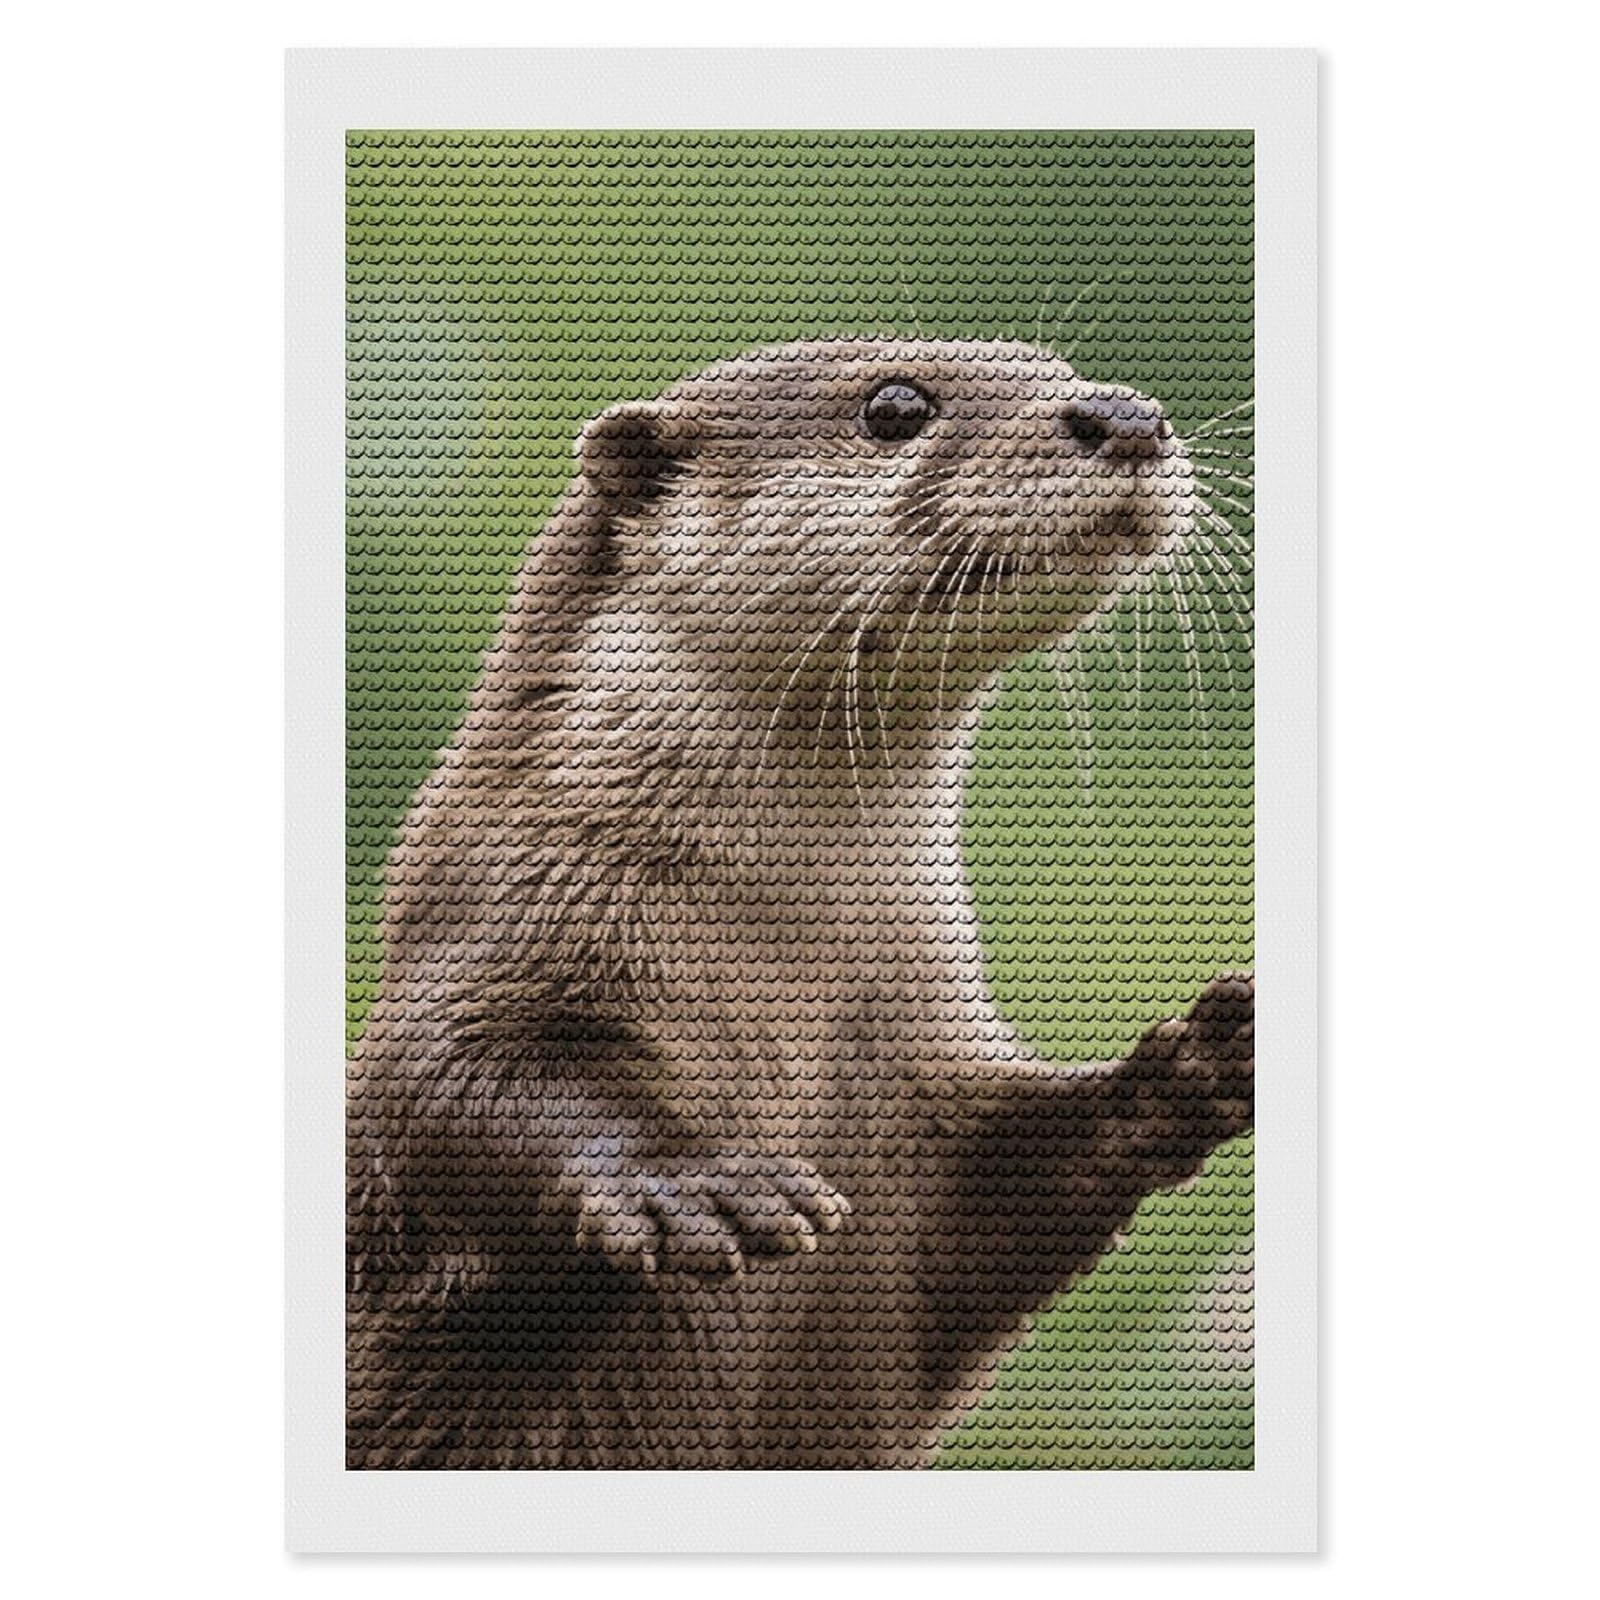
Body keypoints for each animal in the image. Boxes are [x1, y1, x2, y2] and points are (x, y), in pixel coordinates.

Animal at [346, 338, 1254, 1469]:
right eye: (895, 406)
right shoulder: (500, 915)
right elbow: (439, 1082)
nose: (1124, 415)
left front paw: (1185, 1069)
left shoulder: (920, 1062)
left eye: (1061, 368)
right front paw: (687, 1181)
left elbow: (989, 1211)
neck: (787, 953)